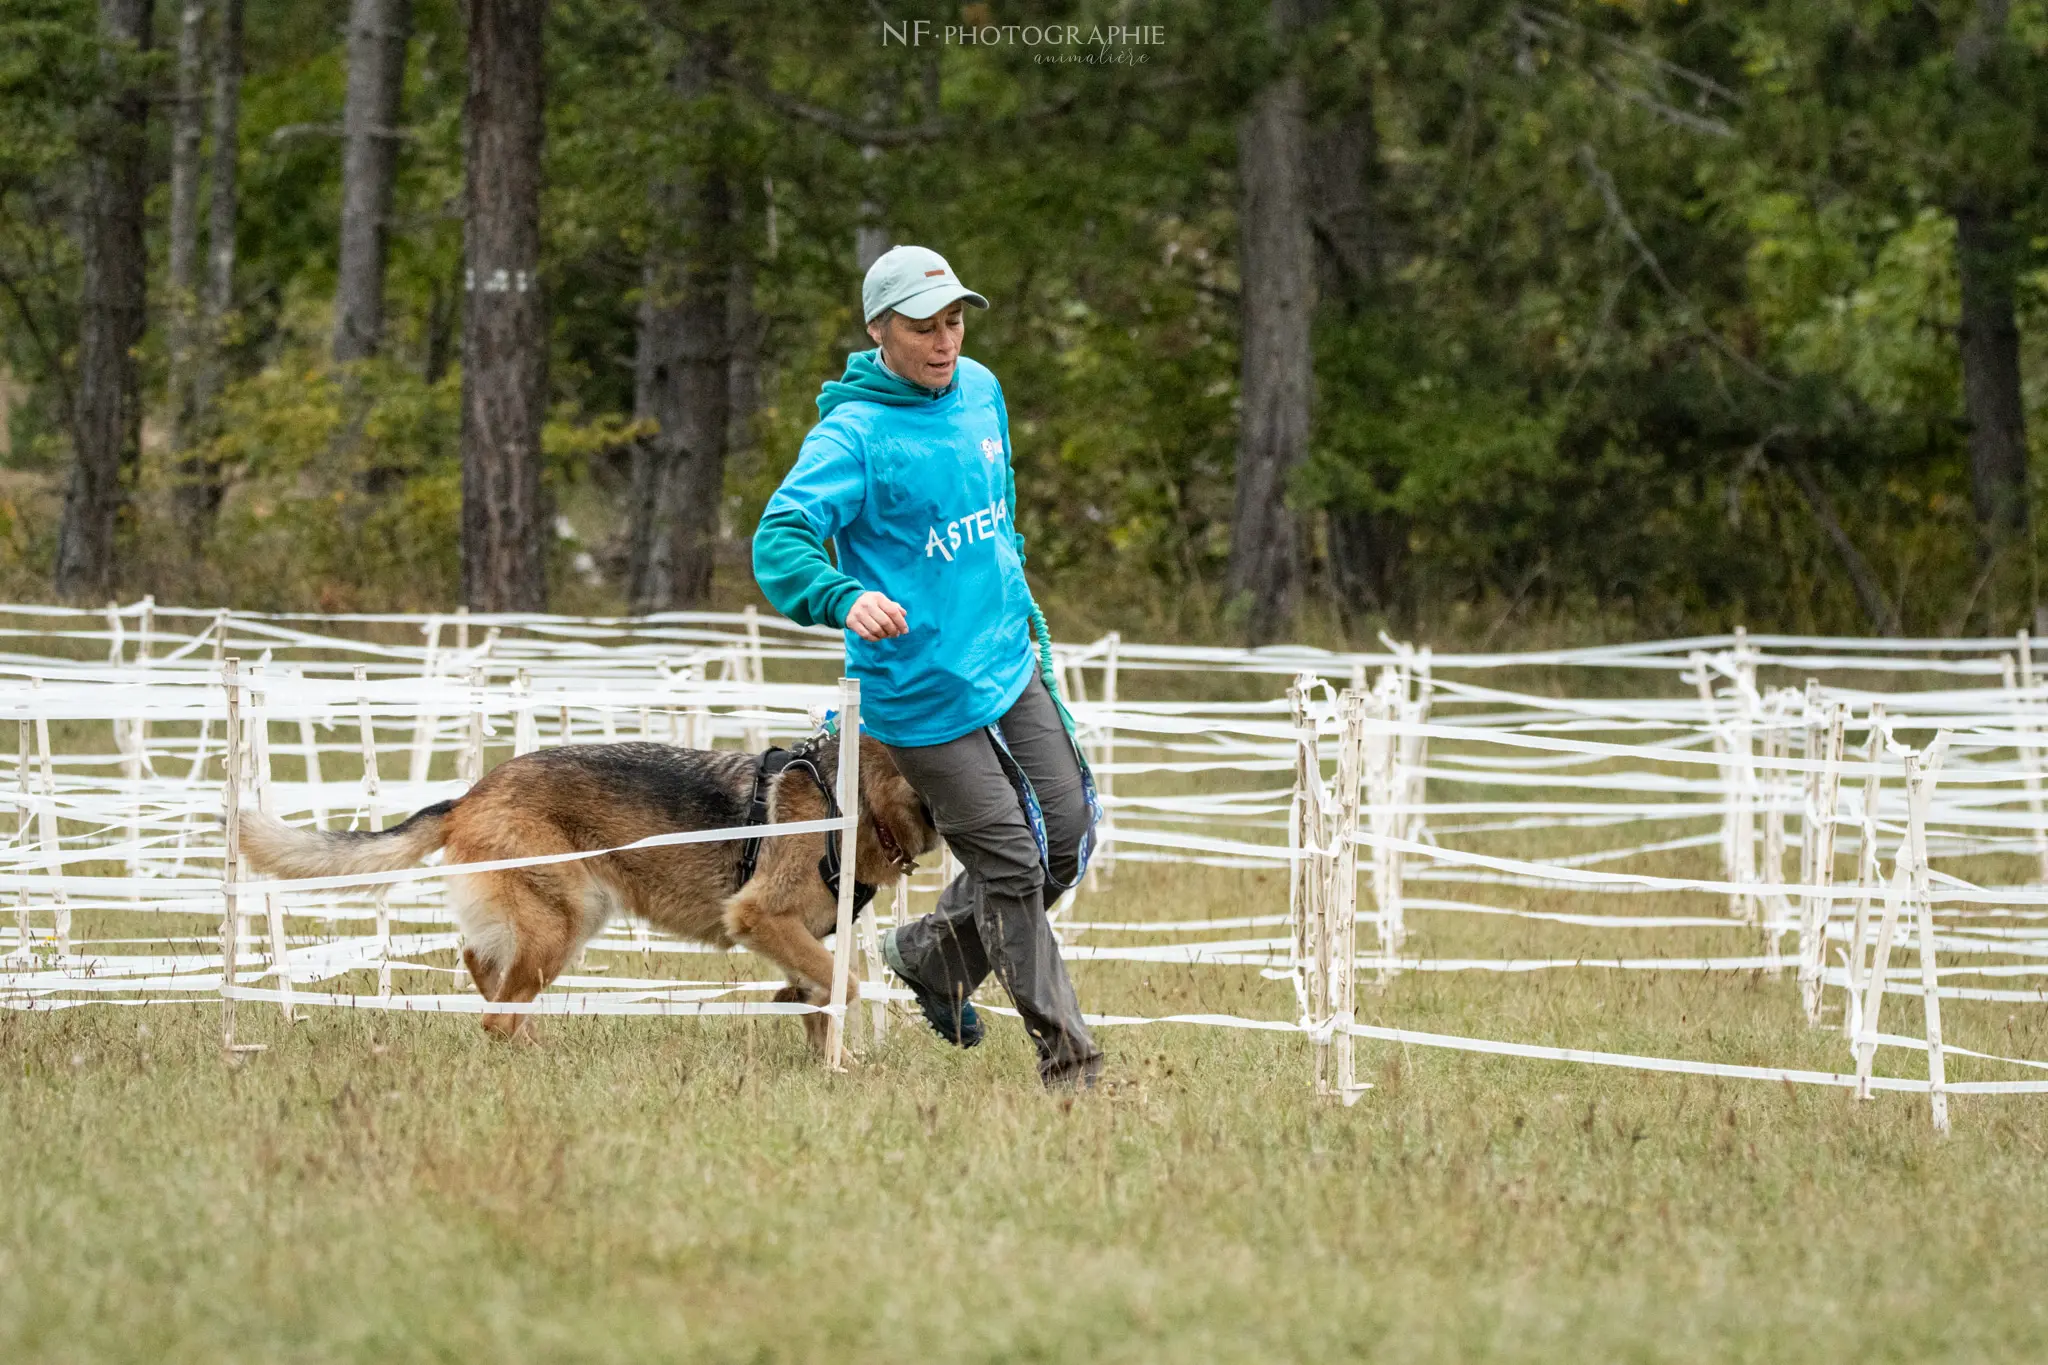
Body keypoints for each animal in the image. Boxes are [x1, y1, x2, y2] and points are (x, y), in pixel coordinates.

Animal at [237, 736, 937, 1047]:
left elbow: (819, 993)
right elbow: (847, 985)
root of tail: (469, 796)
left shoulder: (800, 937)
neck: (855, 797)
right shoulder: (759, 916)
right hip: (566, 922)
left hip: (563, 919)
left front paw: (823, 1054)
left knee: (481, 966)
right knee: (496, 1005)